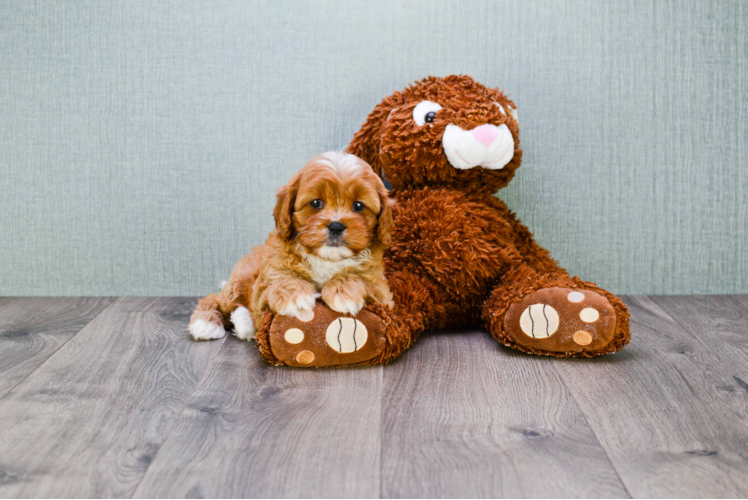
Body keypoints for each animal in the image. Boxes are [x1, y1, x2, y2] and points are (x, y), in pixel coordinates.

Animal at [190, 151, 394, 340]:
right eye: (316, 203)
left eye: (358, 206)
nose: (336, 226)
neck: (327, 258)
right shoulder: (266, 281)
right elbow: (279, 282)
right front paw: (296, 296)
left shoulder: (383, 293)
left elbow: (362, 280)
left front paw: (342, 291)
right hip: (241, 279)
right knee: (217, 298)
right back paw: (206, 322)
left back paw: (243, 324)